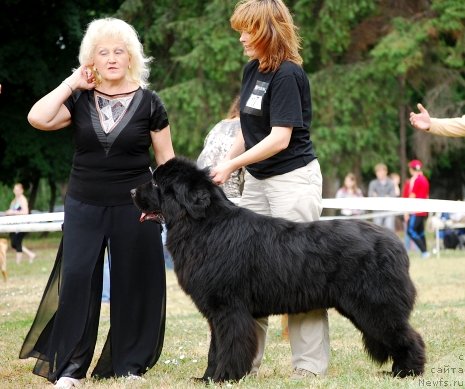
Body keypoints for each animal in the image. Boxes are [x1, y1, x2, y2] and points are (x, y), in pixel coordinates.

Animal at [130, 157, 424, 382]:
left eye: (156, 183)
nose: (131, 192)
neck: (203, 226)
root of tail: (395, 243)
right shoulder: (217, 313)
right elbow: (215, 348)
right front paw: (207, 378)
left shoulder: (229, 309)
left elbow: (229, 346)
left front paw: (225, 376)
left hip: (375, 306)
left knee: (408, 336)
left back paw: (407, 372)